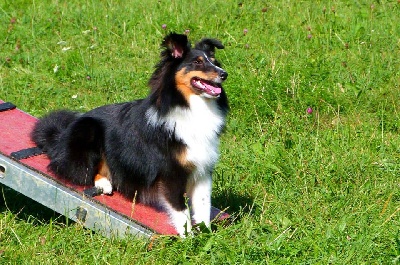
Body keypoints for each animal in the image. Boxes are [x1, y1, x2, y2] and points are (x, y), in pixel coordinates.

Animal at [30, 33, 228, 235]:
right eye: (197, 62)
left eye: (214, 61)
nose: (224, 74)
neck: (190, 106)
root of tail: (59, 137)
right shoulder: (171, 173)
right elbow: (181, 211)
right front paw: (188, 238)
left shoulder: (203, 169)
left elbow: (203, 206)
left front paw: (207, 234)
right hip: (88, 131)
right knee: (81, 172)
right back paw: (104, 182)